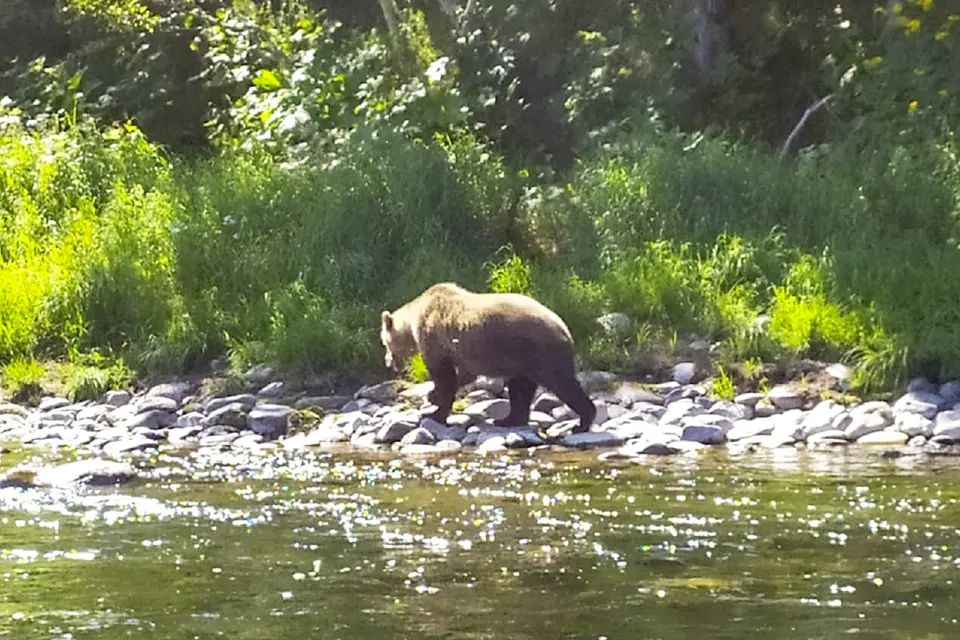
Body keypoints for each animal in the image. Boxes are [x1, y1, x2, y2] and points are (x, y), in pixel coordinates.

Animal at [380, 282, 592, 432]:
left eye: (385, 343)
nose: (388, 362)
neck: (413, 320)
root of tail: (564, 328)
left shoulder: (435, 338)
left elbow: (444, 376)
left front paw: (434, 412)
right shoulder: (462, 351)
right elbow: (463, 375)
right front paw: (433, 398)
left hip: (538, 350)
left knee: (562, 383)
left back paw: (582, 422)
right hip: (521, 357)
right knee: (520, 388)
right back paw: (508, 420)